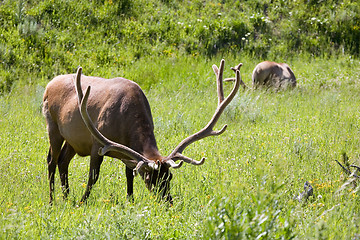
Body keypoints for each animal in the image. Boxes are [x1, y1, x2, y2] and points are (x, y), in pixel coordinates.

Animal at [42, 59, 240, 203]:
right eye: (149, 179)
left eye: (169, 177)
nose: (168, 202)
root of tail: (49, 84)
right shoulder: (98, 143)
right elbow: (93, 177)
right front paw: (82, 202)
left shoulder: (128, 154)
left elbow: (129, 176)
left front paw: (130, 201)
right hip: (53, 126)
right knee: (52, 160)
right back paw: (53, 201)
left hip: (73, 141)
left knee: (63, 161)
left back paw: (66, 196)